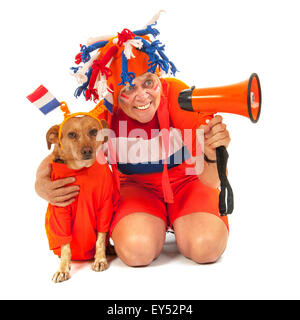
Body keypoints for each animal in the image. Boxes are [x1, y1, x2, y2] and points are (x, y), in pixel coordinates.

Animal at [46, 115, 113, 282]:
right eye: (71, 134)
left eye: (94, 131)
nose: (87, 150)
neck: (81, 170)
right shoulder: (61, 211)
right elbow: (65, 247)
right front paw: (63, 268)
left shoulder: (105, 205)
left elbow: (100, 238)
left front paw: (100, 259)